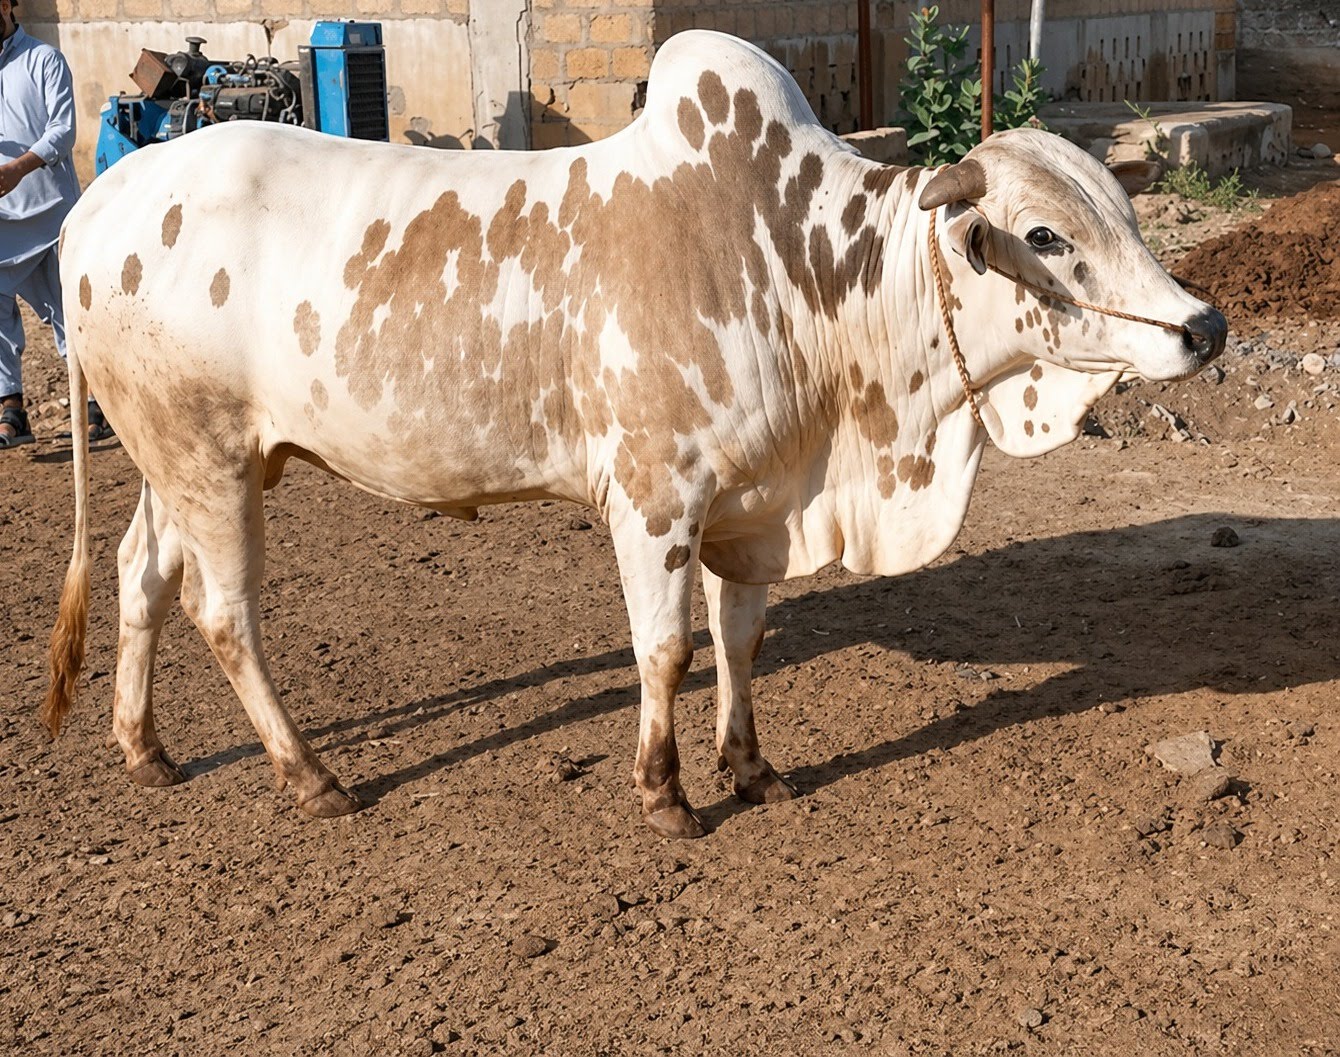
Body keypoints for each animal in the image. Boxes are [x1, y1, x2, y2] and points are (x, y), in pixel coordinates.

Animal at [46, 31, 1225, 839]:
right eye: (1044, 236)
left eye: (1124, 211)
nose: (1203, 327)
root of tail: (100, 199)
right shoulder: (656, 500)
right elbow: (666, 648)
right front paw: (665, 793)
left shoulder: (752, 508)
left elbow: (740, 641)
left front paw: (751, 768)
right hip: (208, 462)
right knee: (223, 612)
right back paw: (309, 775)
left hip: (183, 461)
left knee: (140, 574)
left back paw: (143, 747)